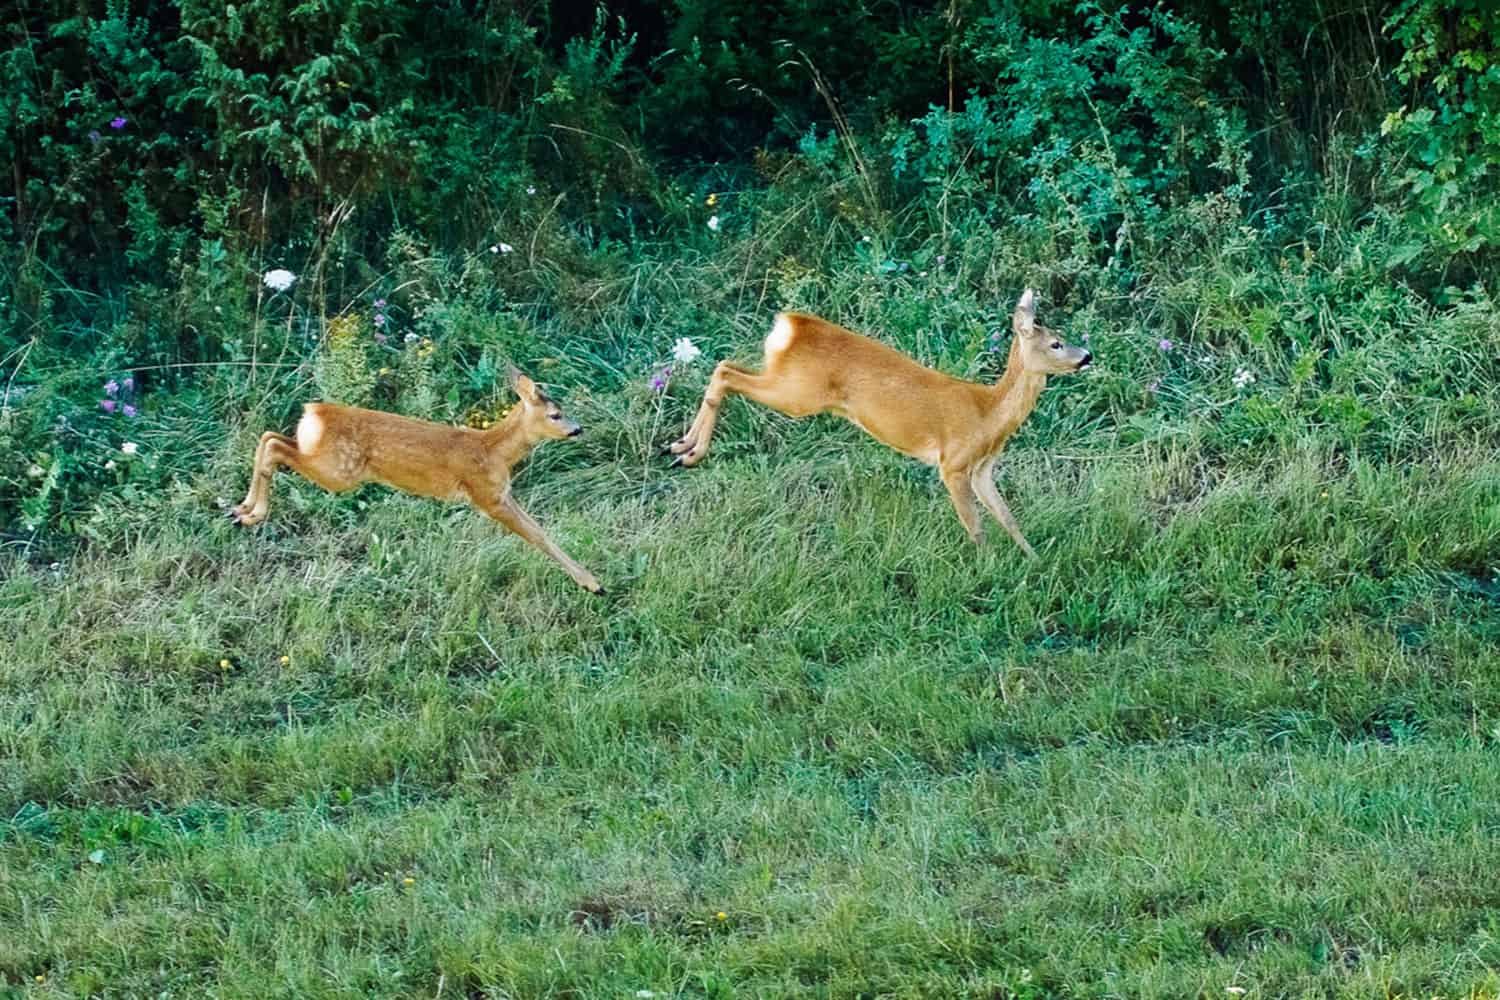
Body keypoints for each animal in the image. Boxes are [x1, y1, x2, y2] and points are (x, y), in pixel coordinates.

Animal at [669, 289, 1092, 560]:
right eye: (1056, 343)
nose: (1086, 355)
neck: (987, 413)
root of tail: (790, 324)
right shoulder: (953, 463)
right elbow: (976, 526)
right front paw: (990, 568)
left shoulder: (982, 468)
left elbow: (1007, 518)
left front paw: (1034, 559)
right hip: (798, 394)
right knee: (726, 373)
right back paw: (690, 453)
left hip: (785, 382)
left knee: (724, 364)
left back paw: (680, 447)